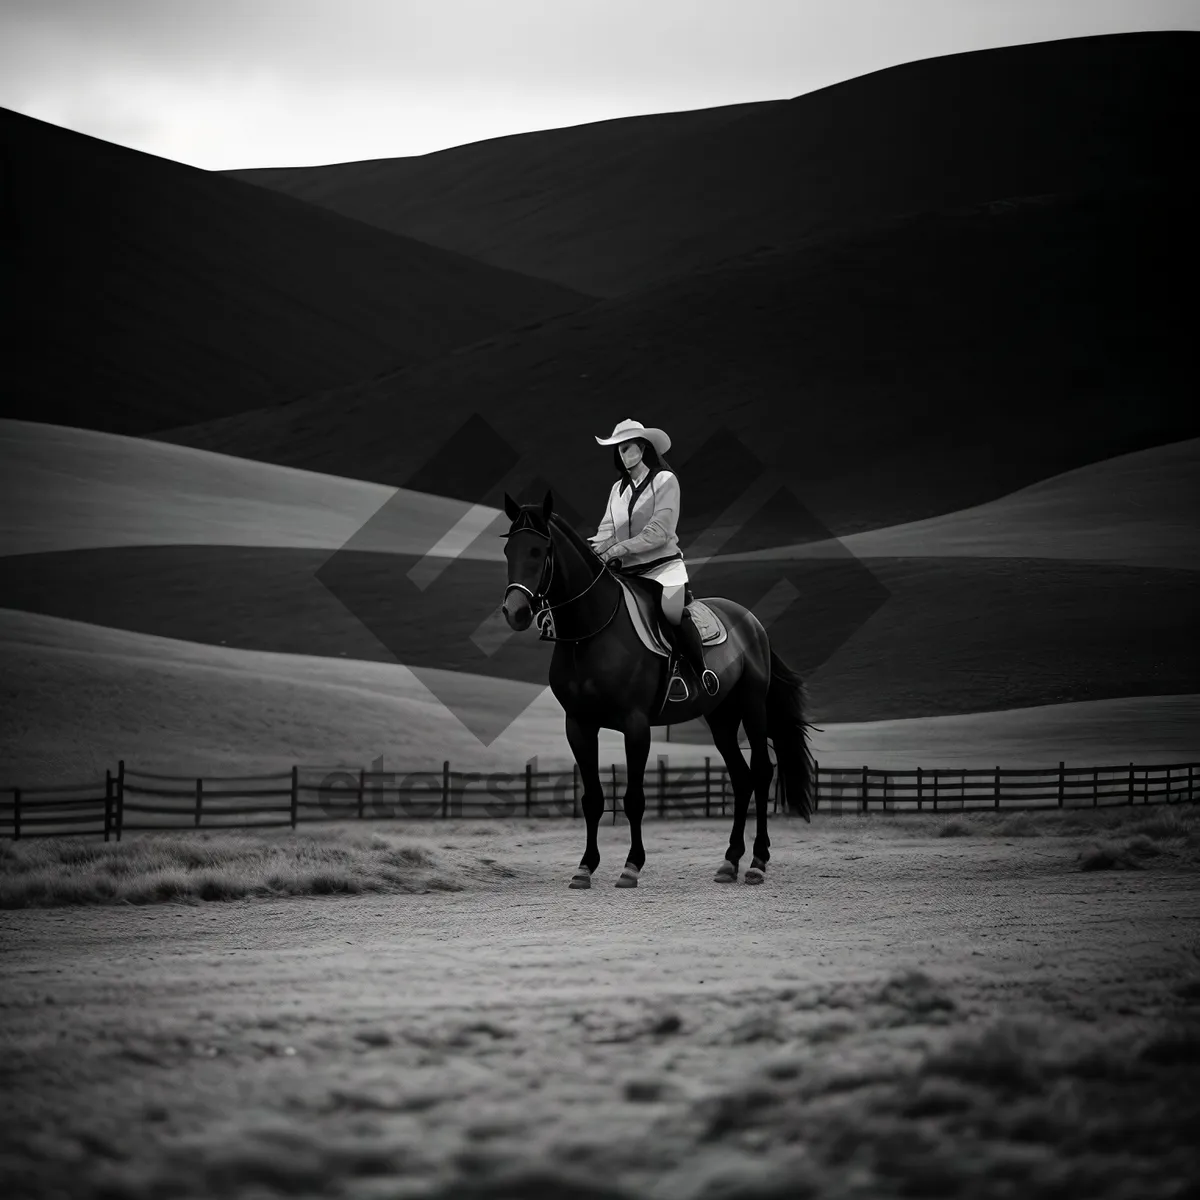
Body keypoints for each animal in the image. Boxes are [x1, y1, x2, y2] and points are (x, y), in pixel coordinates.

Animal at [496, 489, 816, 892]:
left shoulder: (635, 726)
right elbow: (593, 798)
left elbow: (633, 798)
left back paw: (757, 863)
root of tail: (751, 622)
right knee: (741, 779)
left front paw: (631, 866)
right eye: (510, 550)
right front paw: (585, 868)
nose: (515, 612)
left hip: (752, 707)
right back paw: (729, 862)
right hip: (721, 717)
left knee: (760, 772)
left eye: (540, 550)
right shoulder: (579, 725)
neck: (590, 632)